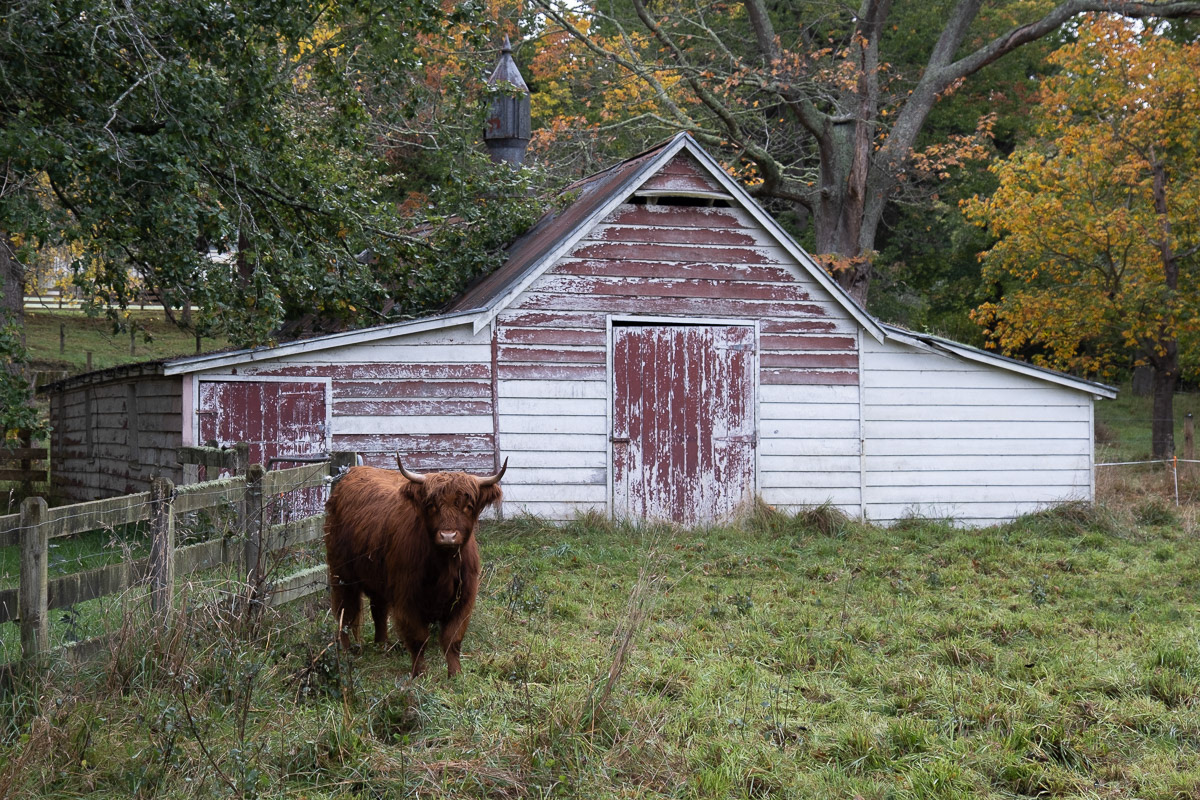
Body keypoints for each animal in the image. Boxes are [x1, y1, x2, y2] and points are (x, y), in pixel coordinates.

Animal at [323, 456, 507, 677]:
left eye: (468, 506)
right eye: (432, 505)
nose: (448, 536)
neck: (443, 566)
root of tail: (353, 472)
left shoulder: (464, 598)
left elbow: (452, 638)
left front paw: (455, 674)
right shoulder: (407, 598)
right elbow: (419, 638)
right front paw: (420, 673)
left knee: (378, 609)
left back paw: (382, 645)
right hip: (342, 575)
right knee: (345, 613)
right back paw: (346, 652)